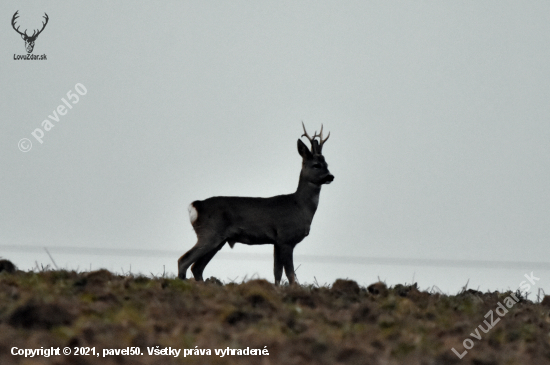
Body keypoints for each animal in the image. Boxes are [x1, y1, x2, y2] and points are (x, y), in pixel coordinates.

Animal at [179, 123, 334, 286]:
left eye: (327, 164)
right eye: (316, 165)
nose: (330, 176)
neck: (299, 206)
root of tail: (195, 206)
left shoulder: (276, 242)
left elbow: (277, 273)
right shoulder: (286, 238)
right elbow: (290, 274)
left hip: (218, 240)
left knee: (197, 267)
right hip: (209, 233)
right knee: (184, 261)